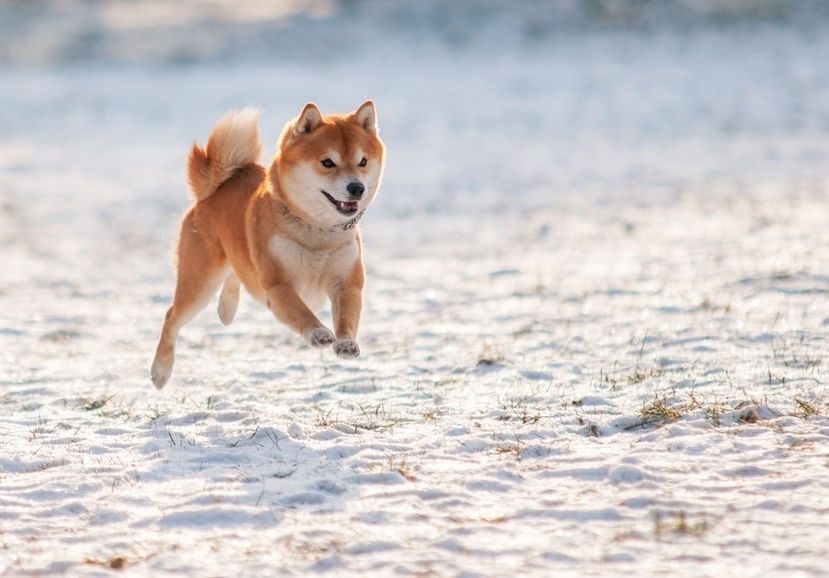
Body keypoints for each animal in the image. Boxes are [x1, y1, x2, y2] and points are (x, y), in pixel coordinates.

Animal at [151, 100, 384, 388]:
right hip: (200, 282)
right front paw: (318, 333)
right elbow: (301, 311)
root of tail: (213, 189)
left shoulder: (347, 282)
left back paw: (227, 309)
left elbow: (347, 316)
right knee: (172, 317)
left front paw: (346, 343)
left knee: (236, 275)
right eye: (328, 163)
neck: (317, 231)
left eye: (362, 161)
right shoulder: (278, 285)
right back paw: (161, 370)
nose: (356, 188)